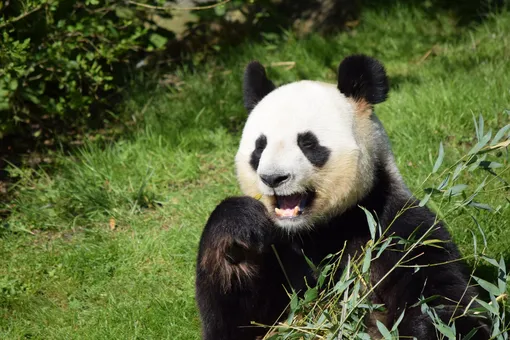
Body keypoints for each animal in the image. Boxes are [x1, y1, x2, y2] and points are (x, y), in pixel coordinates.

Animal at [194, 55, 486, 340]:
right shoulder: (278, 248)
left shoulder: (395, 230)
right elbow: (239, 323)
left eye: (307, 143)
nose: (273, 178)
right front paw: (240, 227)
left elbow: (444, 300)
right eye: (259, 146)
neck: (319, 228)